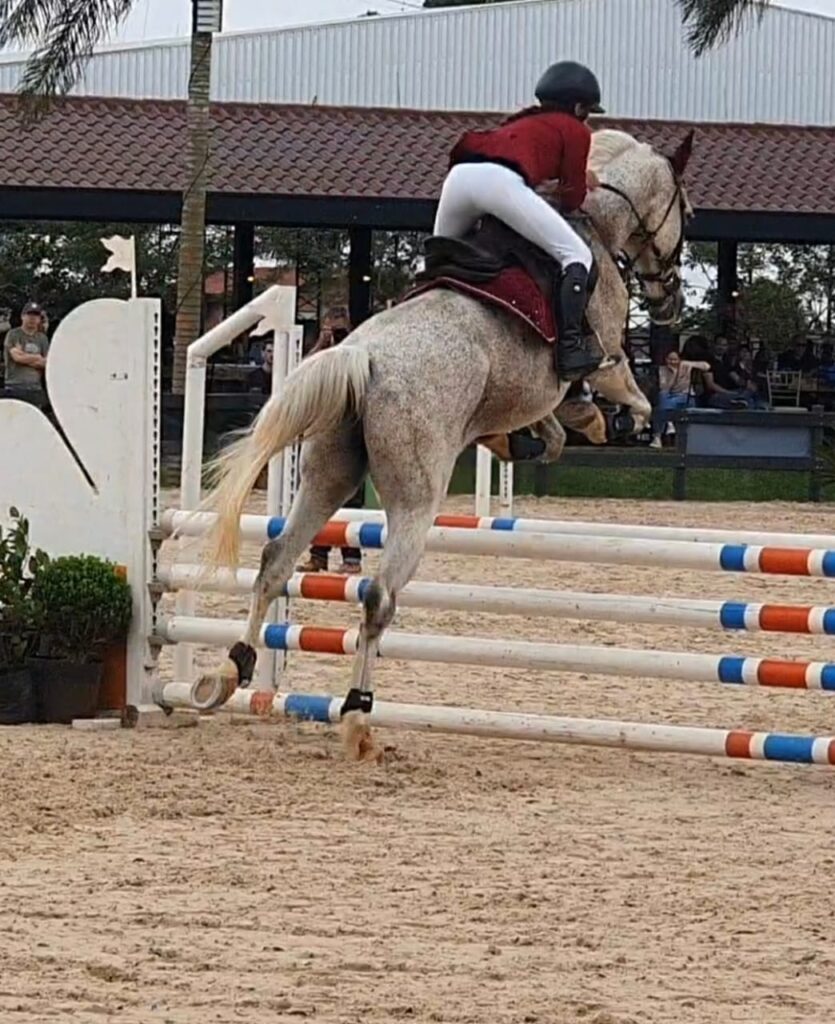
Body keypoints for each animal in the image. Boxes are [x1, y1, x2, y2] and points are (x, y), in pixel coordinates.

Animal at [192, 128, 696, 757]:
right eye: (687, 211)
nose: (672, 302)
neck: (597, 224)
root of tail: (363, 356)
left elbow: (550, 432)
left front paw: (523, 441)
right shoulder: (605, 360)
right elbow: (628, 398)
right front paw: (614, 425)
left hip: (328, 474)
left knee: (275, 561)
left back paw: (229, 671)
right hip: (416, 500)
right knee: (378, 595)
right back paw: (356, 717)